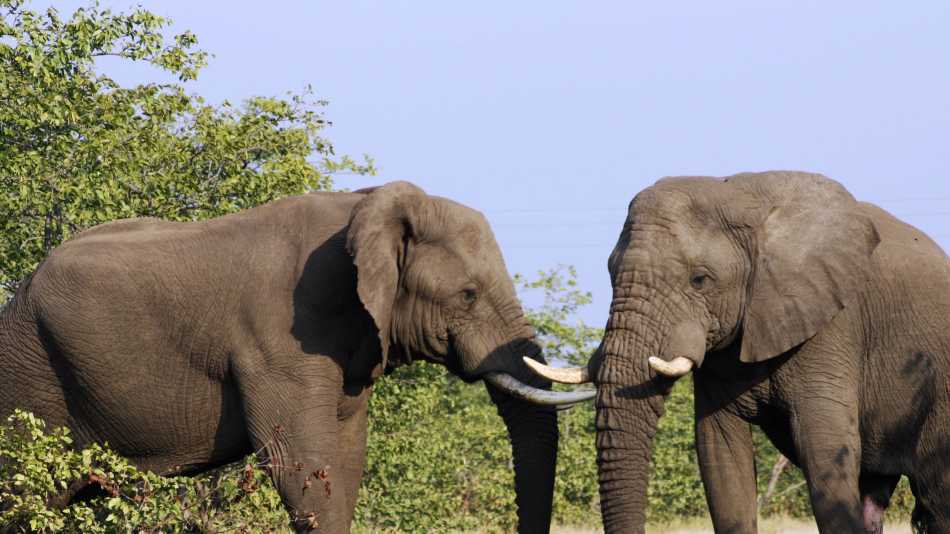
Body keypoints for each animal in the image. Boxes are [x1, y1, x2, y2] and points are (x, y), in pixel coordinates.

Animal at [0, 181, 592, 533]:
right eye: (467, 295)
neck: (367, 205)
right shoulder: (280, 338)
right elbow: (300, 461)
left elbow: (346, 460)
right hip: (29, 373)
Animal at [525, 171, 950, 533]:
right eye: (612, 273)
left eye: (700, 280)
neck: (739, 195)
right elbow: (720, 456)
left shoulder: (833, 324)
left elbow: (825, 449)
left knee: (937, 494)